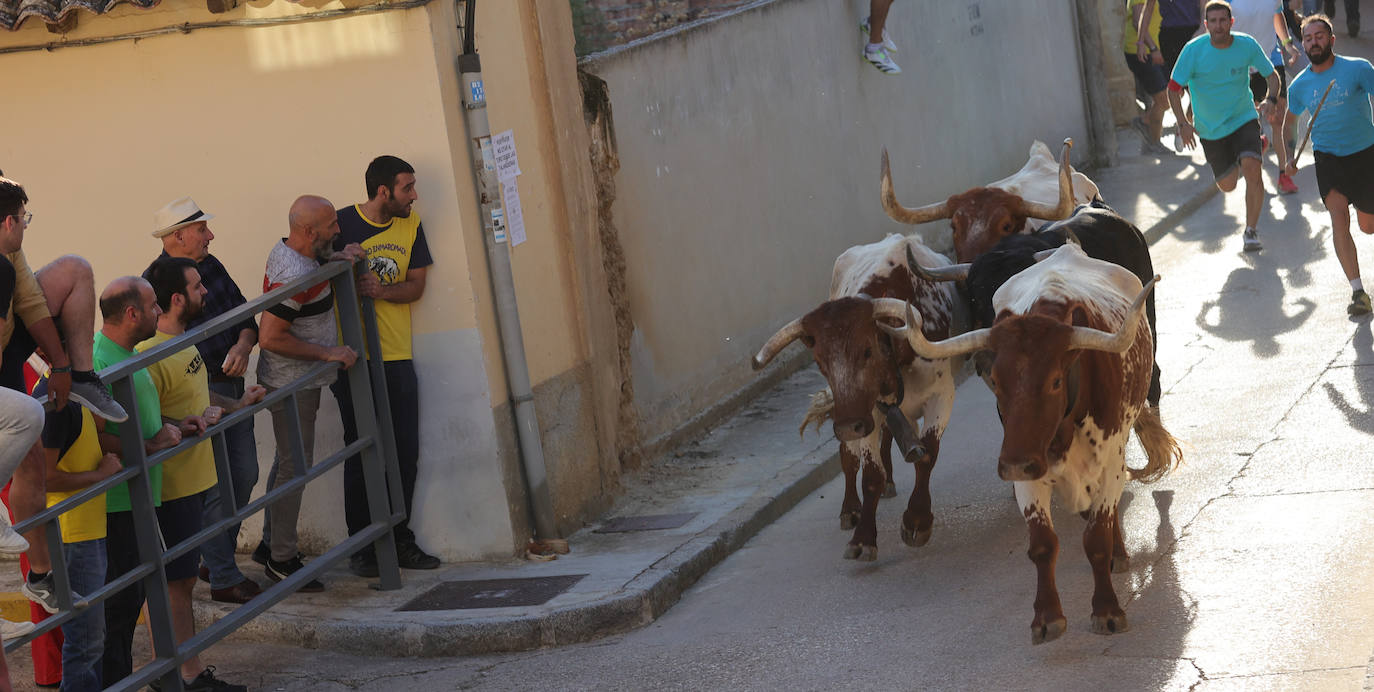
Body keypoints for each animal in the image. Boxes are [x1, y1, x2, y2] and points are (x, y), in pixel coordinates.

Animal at [752, 234, 967, 560]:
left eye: (867, 351)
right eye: (820, 362)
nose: (846, 426)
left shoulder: (941, 396)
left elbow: (927, 456)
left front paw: (917, 520)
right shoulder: (867, 412)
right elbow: (869, 475)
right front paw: (863, 537)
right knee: (849, 457)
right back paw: (850, 509)